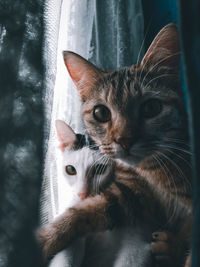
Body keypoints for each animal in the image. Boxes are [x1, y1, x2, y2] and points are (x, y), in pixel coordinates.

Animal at [37, 24, 192, 266]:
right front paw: (42, 239)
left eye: (151, 108)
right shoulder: (130, 193)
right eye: (101, 113)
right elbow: (83, 212)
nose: (124, 140)